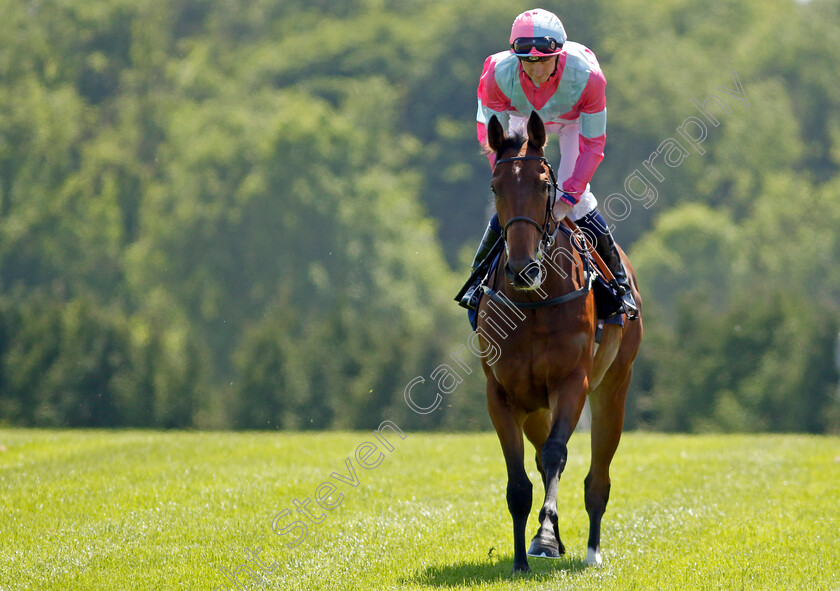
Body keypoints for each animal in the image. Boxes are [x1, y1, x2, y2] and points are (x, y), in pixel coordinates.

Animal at [480, 111, 644, 572]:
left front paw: (550, 527)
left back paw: (591, 550)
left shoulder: (573, 382)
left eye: (542, 185)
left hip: (613, 389)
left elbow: (557, 454)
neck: (533, 302)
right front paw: (522, 558)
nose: (522, 269)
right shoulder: (501, 392)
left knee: (597, 476)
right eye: (496, 187)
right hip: (535, 404)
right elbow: (520, 481)